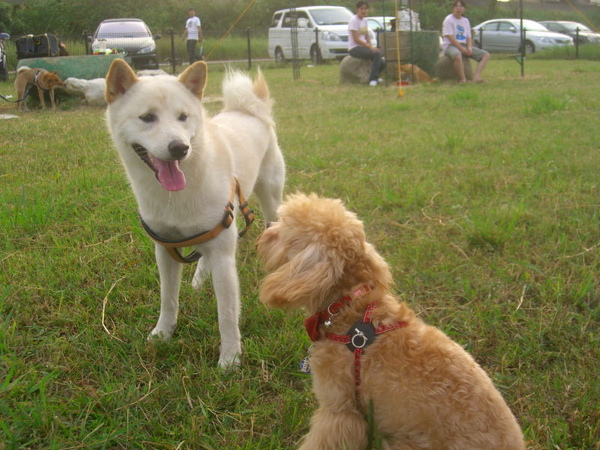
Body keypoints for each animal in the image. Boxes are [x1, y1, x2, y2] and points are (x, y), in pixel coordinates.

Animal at [105, 59, 286, 368]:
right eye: (147, 117)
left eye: (183, 117)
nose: (180, 147)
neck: (176, 195)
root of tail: (248, 110)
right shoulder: (165, 250)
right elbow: (168, 299)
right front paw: (162, 334)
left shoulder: (224, 256)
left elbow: (227, 314)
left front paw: (230, 359)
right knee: (203, 253)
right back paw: (200, 279)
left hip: (270, 199)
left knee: (272, 224)